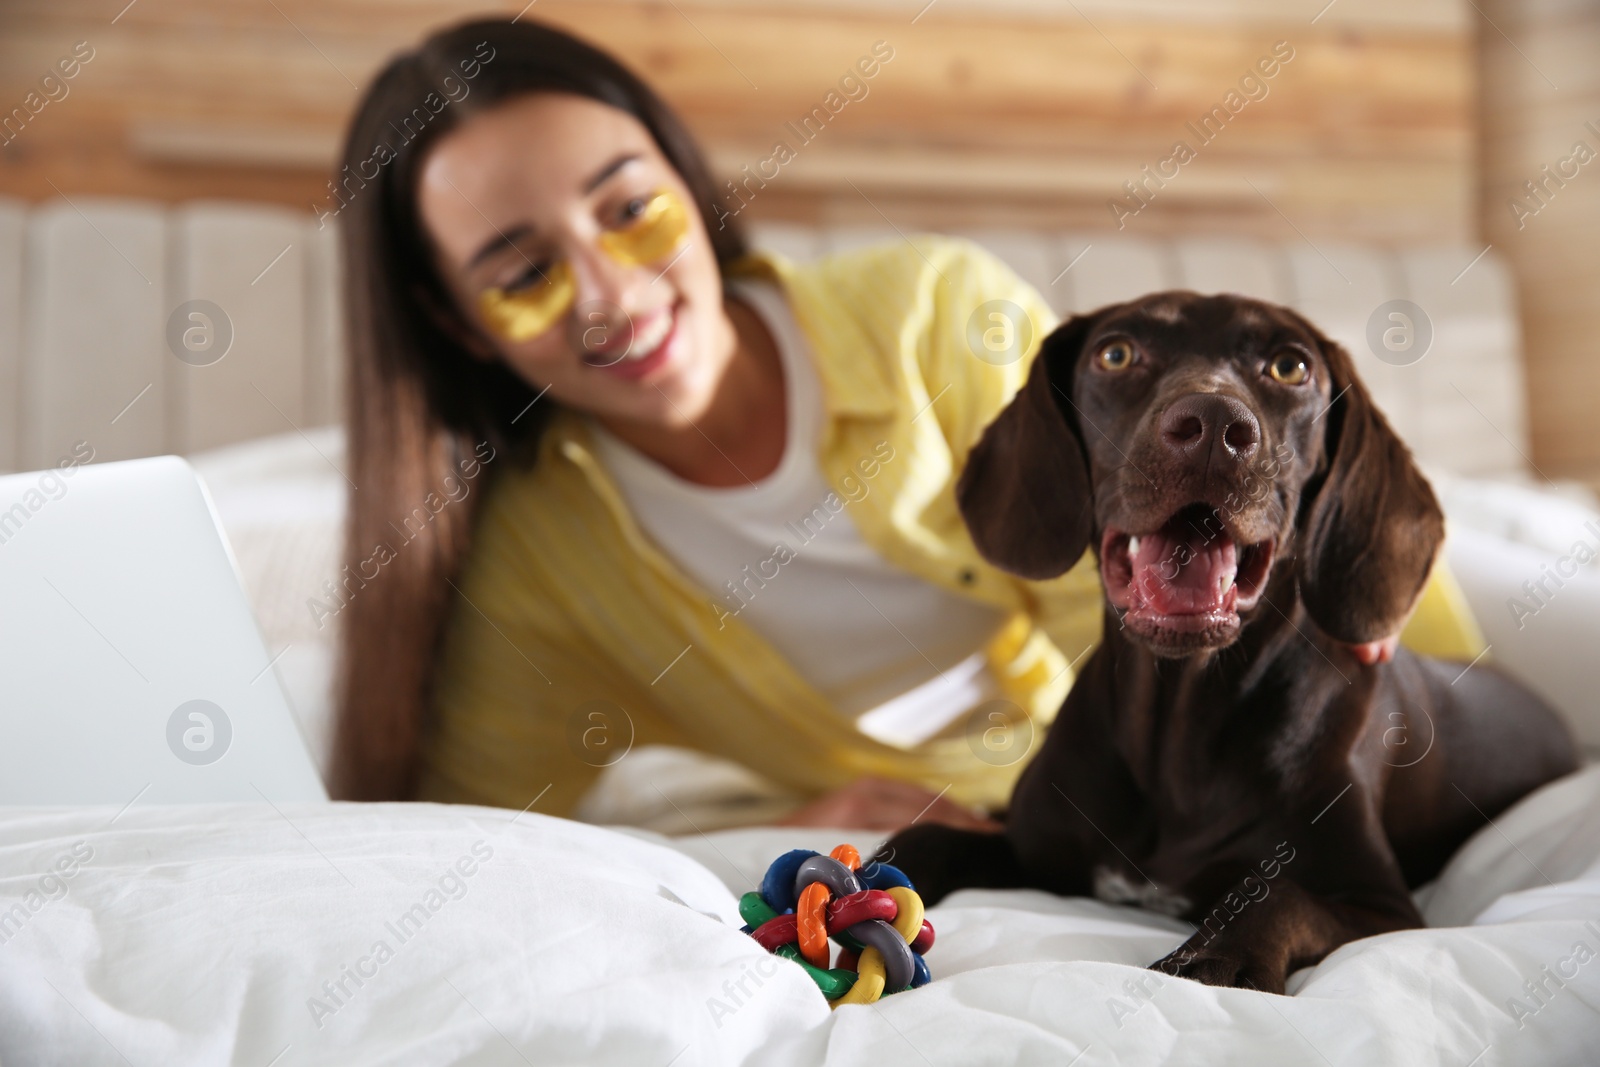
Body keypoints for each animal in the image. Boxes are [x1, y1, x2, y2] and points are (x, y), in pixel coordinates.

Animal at [883, 289, 1580, 991]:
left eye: (1290, 367)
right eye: (1116, 354)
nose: (1214, 427)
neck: (1176, 736)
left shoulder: (1385, 907)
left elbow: (1276, 893)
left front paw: (1217, 959)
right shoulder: (1032, 850)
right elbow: (925, 838)